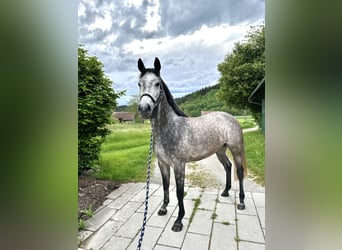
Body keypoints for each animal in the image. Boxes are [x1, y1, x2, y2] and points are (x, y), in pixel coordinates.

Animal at [136, 57, 246, 231]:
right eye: (139, 84)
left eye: (157, 83)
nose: (144, 108)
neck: (171, 128)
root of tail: (231, 118)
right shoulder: (163, 164)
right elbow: (165, 186)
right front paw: (163, 208)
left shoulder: (179, 165)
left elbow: (179, 192)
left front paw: (179, 220)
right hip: (220, 150)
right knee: (228, 166)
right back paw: (225, 192)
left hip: (235, 149)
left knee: (239, 171)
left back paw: (241, 202)